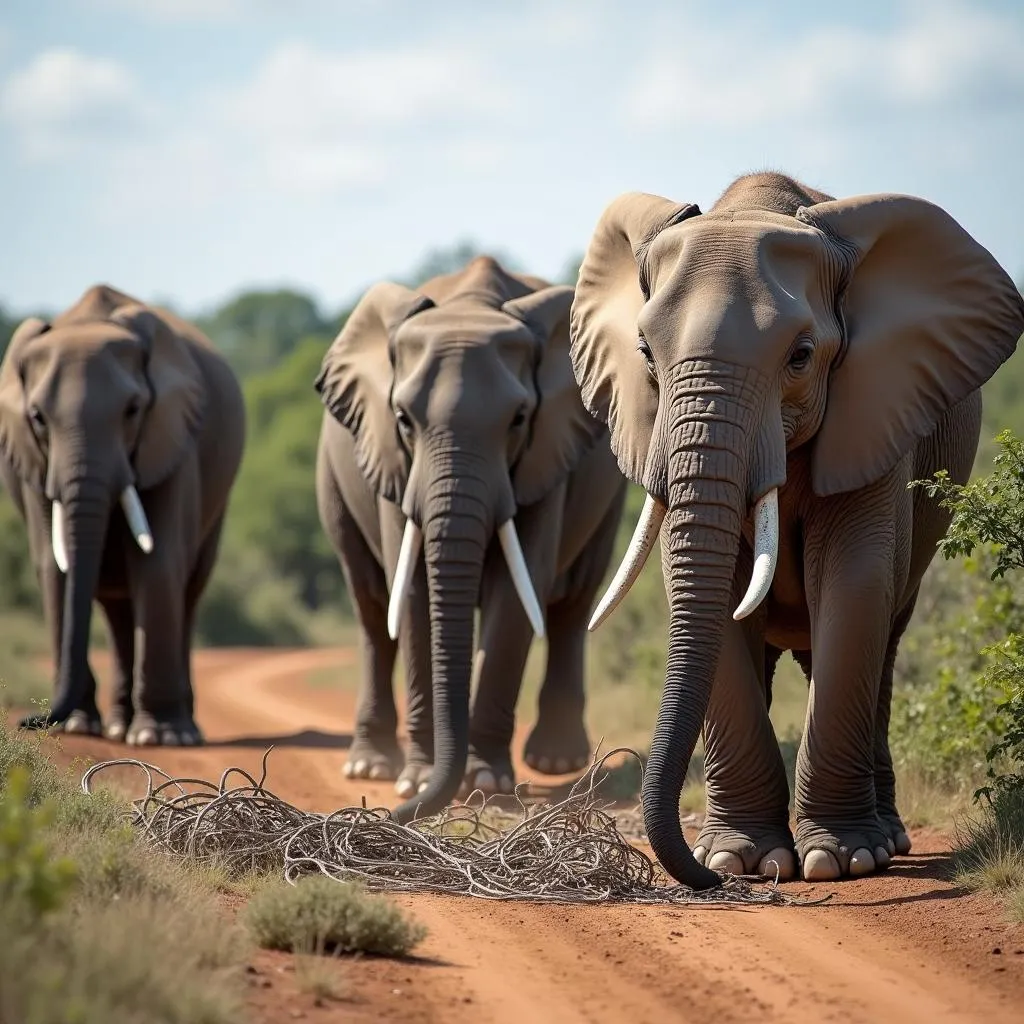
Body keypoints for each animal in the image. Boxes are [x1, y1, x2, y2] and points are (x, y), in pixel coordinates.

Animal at [0, 282, 245, 745]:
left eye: (132, 410)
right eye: (38, 418)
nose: (28, 720)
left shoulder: (172, 438)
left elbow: (159, 561)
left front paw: (161, 738)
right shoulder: (33, 461)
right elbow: (54, 569)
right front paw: (79, 726)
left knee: (187, 590)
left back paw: (177, 729)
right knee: (116, 608)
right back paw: (115, 726)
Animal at [315, 251, 626, 819]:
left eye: (519, 419)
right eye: (403, 419)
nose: (393, 815)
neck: (471, 306)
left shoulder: (546, 457)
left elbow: (517, 595)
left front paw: (486, 782)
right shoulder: (394, 464)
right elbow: (411, 592)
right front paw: (416, 781)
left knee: (574, 601)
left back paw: (555, 761)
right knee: (371, 609)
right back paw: (370, 767)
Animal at [569, 174, 1024, 888]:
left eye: (802, 357)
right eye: (645, 355)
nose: (710, 883)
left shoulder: (875, 411)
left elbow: (855, 577)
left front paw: (840, 860)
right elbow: (708, 589)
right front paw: (739, 858)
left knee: (882, 641)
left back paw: (887, 838)